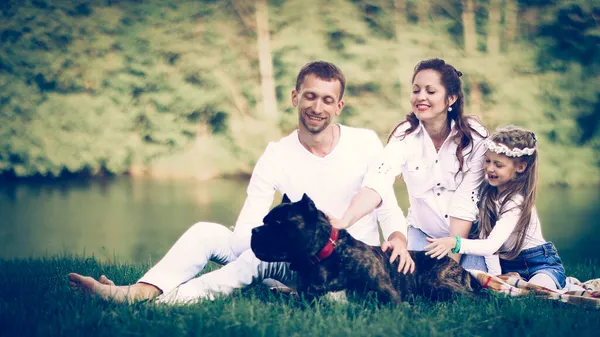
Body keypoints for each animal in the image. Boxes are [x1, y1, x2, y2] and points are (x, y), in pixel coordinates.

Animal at [250, 193, 482, 304]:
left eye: (278, 224)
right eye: (264, 221)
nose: (254, 230)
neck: (324, 258)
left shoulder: (389, 295)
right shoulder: (306, 300)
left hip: (436, 284)